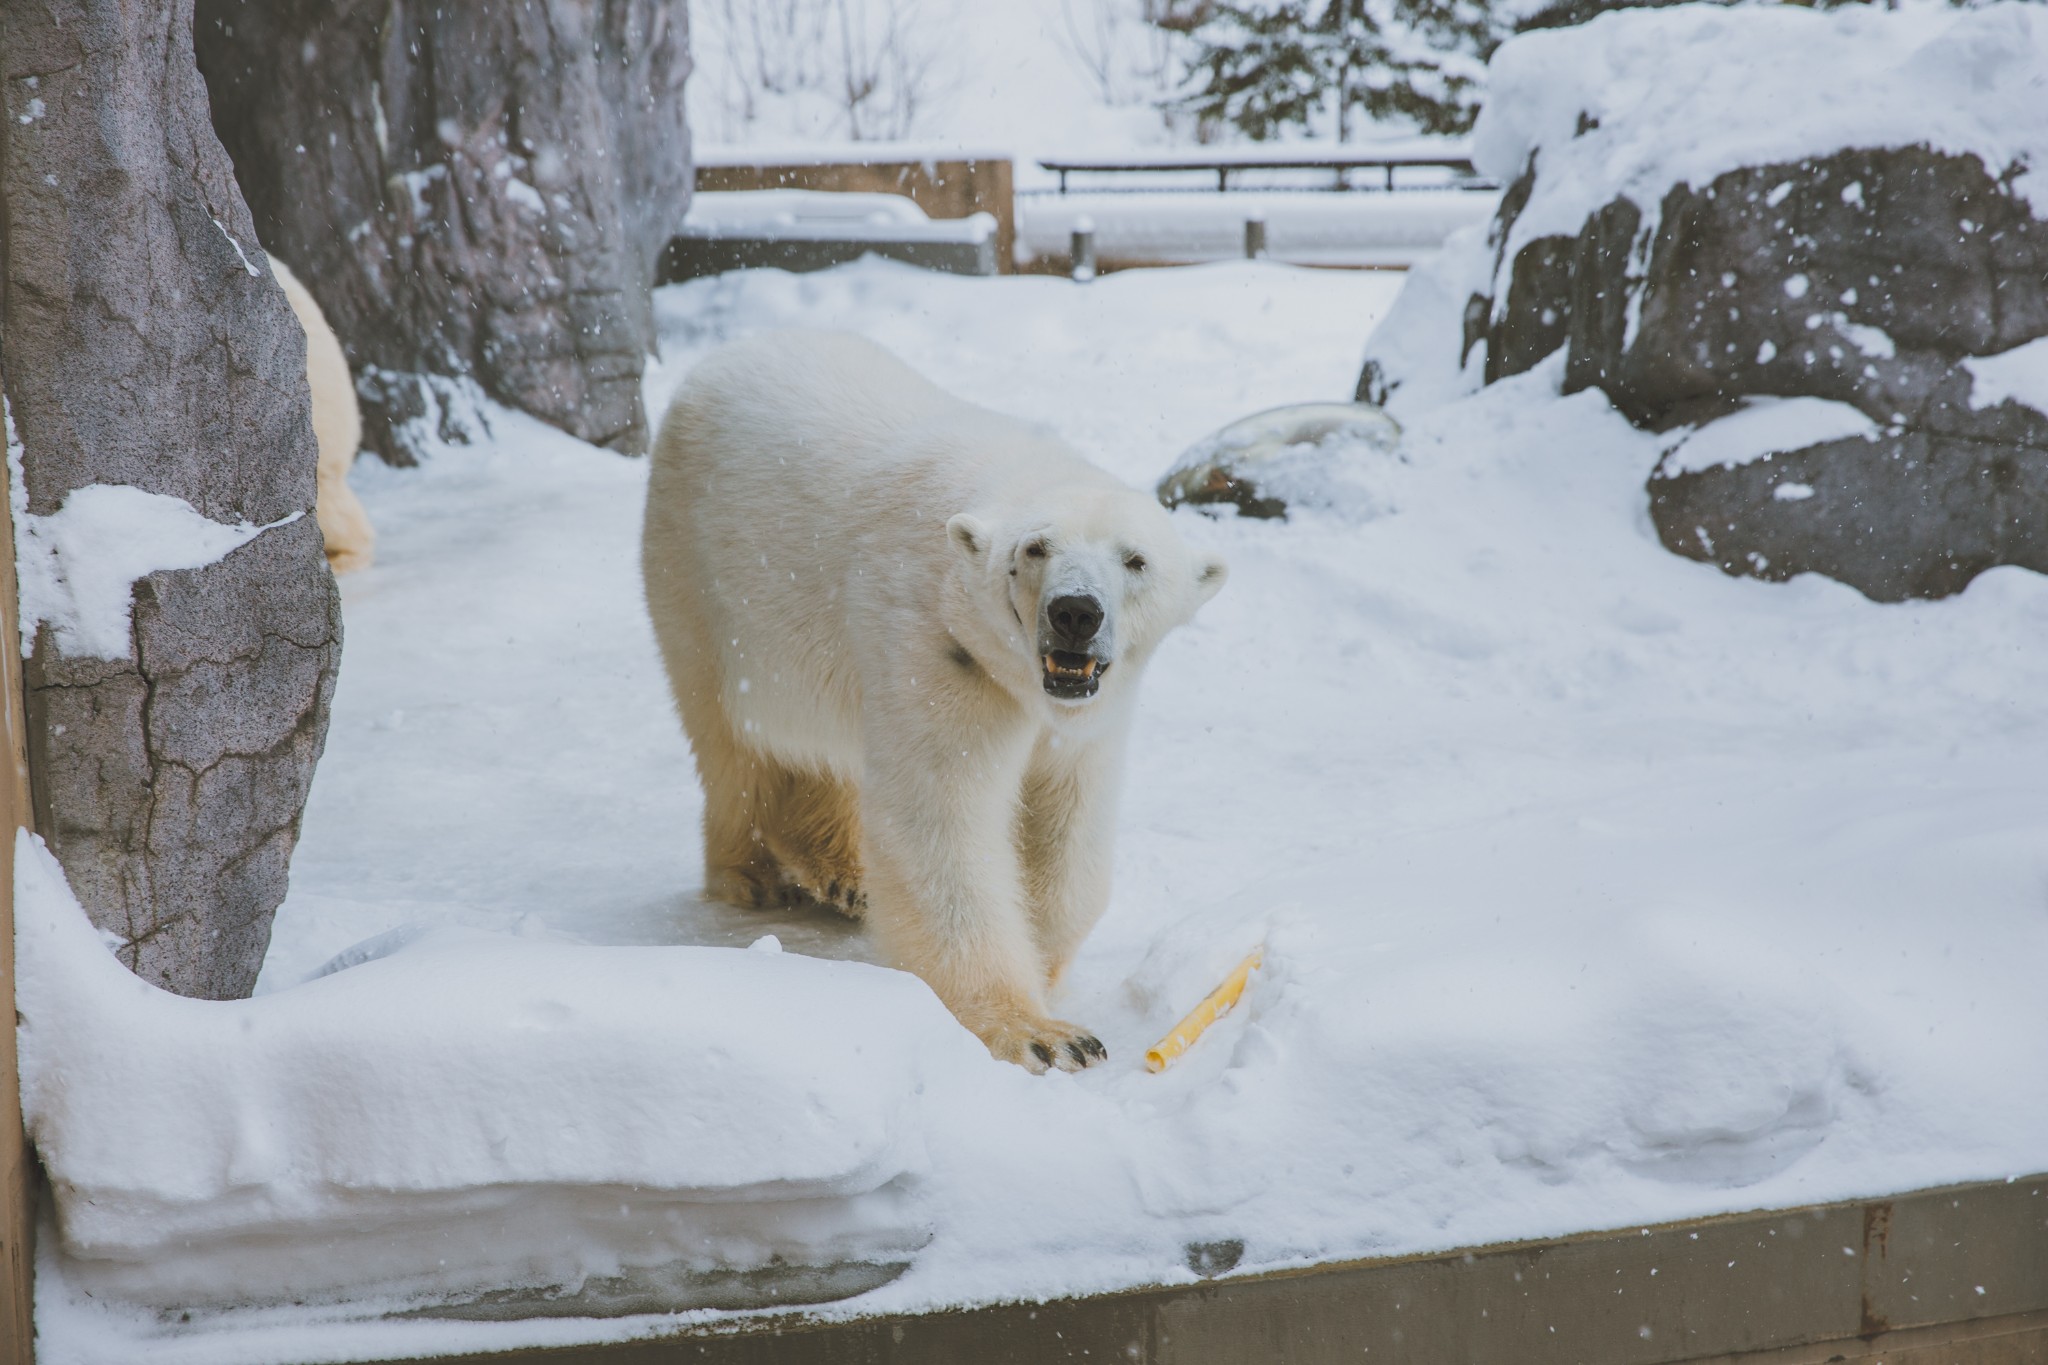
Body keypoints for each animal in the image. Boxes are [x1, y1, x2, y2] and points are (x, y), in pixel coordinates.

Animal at [643, 333, 1212, 1080]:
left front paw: (1045, 962)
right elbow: (943, 824)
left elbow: (1067, 825)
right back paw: (757, 875)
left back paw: (843, 874)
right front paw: (1043, 1034)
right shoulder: (934, 645)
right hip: (700, 575)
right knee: (735, 737)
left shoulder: (1085, 718)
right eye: (1035, 548)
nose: (1075, 612)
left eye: (1136, 559)